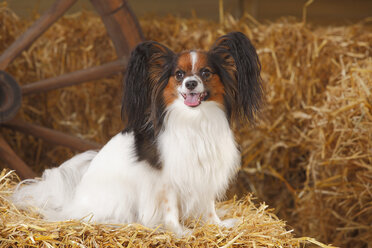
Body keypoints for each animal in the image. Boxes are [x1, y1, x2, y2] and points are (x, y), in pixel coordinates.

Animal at [12, 31, 262, 234]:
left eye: (206, 72)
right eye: (179, 75)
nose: (191, 84)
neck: (194, 119)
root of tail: (72, 202)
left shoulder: (205, 172)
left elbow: (208, 205)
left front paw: (218, 226)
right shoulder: (167, 180)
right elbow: (170, 209)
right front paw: (178, 232)